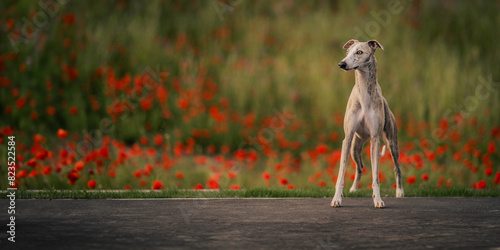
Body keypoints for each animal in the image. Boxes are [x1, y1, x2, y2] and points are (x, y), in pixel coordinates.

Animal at [330, 38, 404, 207]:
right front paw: (337, 198)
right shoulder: (347, 138)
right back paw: (353, 190)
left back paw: (399, 191)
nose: (341, 64)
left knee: (397, 168)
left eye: (359, 52)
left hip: (392, 143)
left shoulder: (375, 139)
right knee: (360, 166)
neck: (363, 93)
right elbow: (341, 174)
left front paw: (378, 200)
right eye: (347, 52)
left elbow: (376, 176)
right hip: (354, 147)